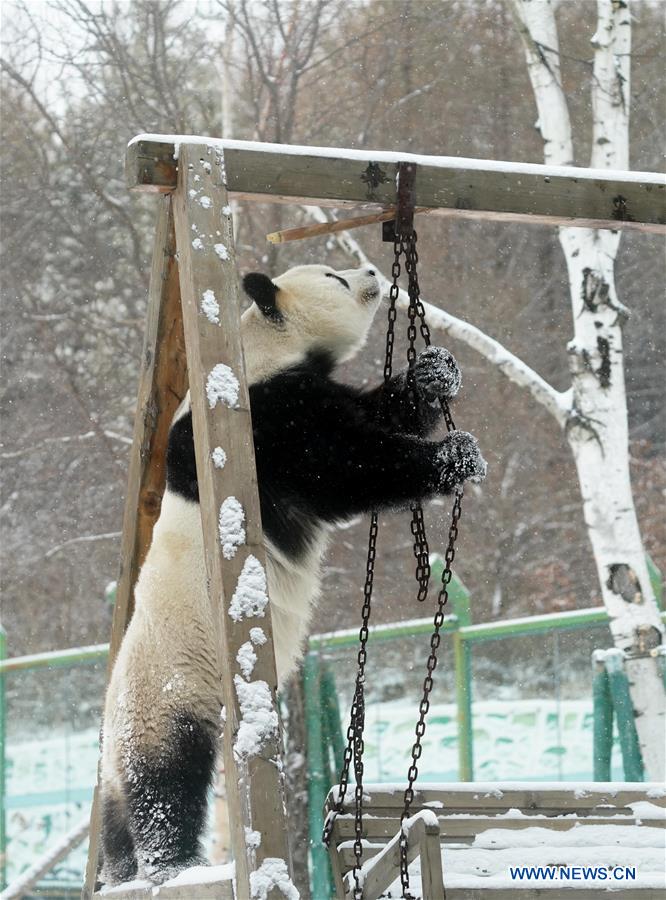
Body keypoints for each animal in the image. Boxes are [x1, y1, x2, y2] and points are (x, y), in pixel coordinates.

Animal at [99, 263, 486, 885]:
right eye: (334, 276)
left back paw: (126, 872)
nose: (372, 271)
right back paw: (176, 865)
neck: (264, 343)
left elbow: (374, 411)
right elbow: (348, 467)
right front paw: (456, 455)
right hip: (167, 695)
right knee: (166, 784)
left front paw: (434, 372)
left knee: (118, 817)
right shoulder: (267, 420)